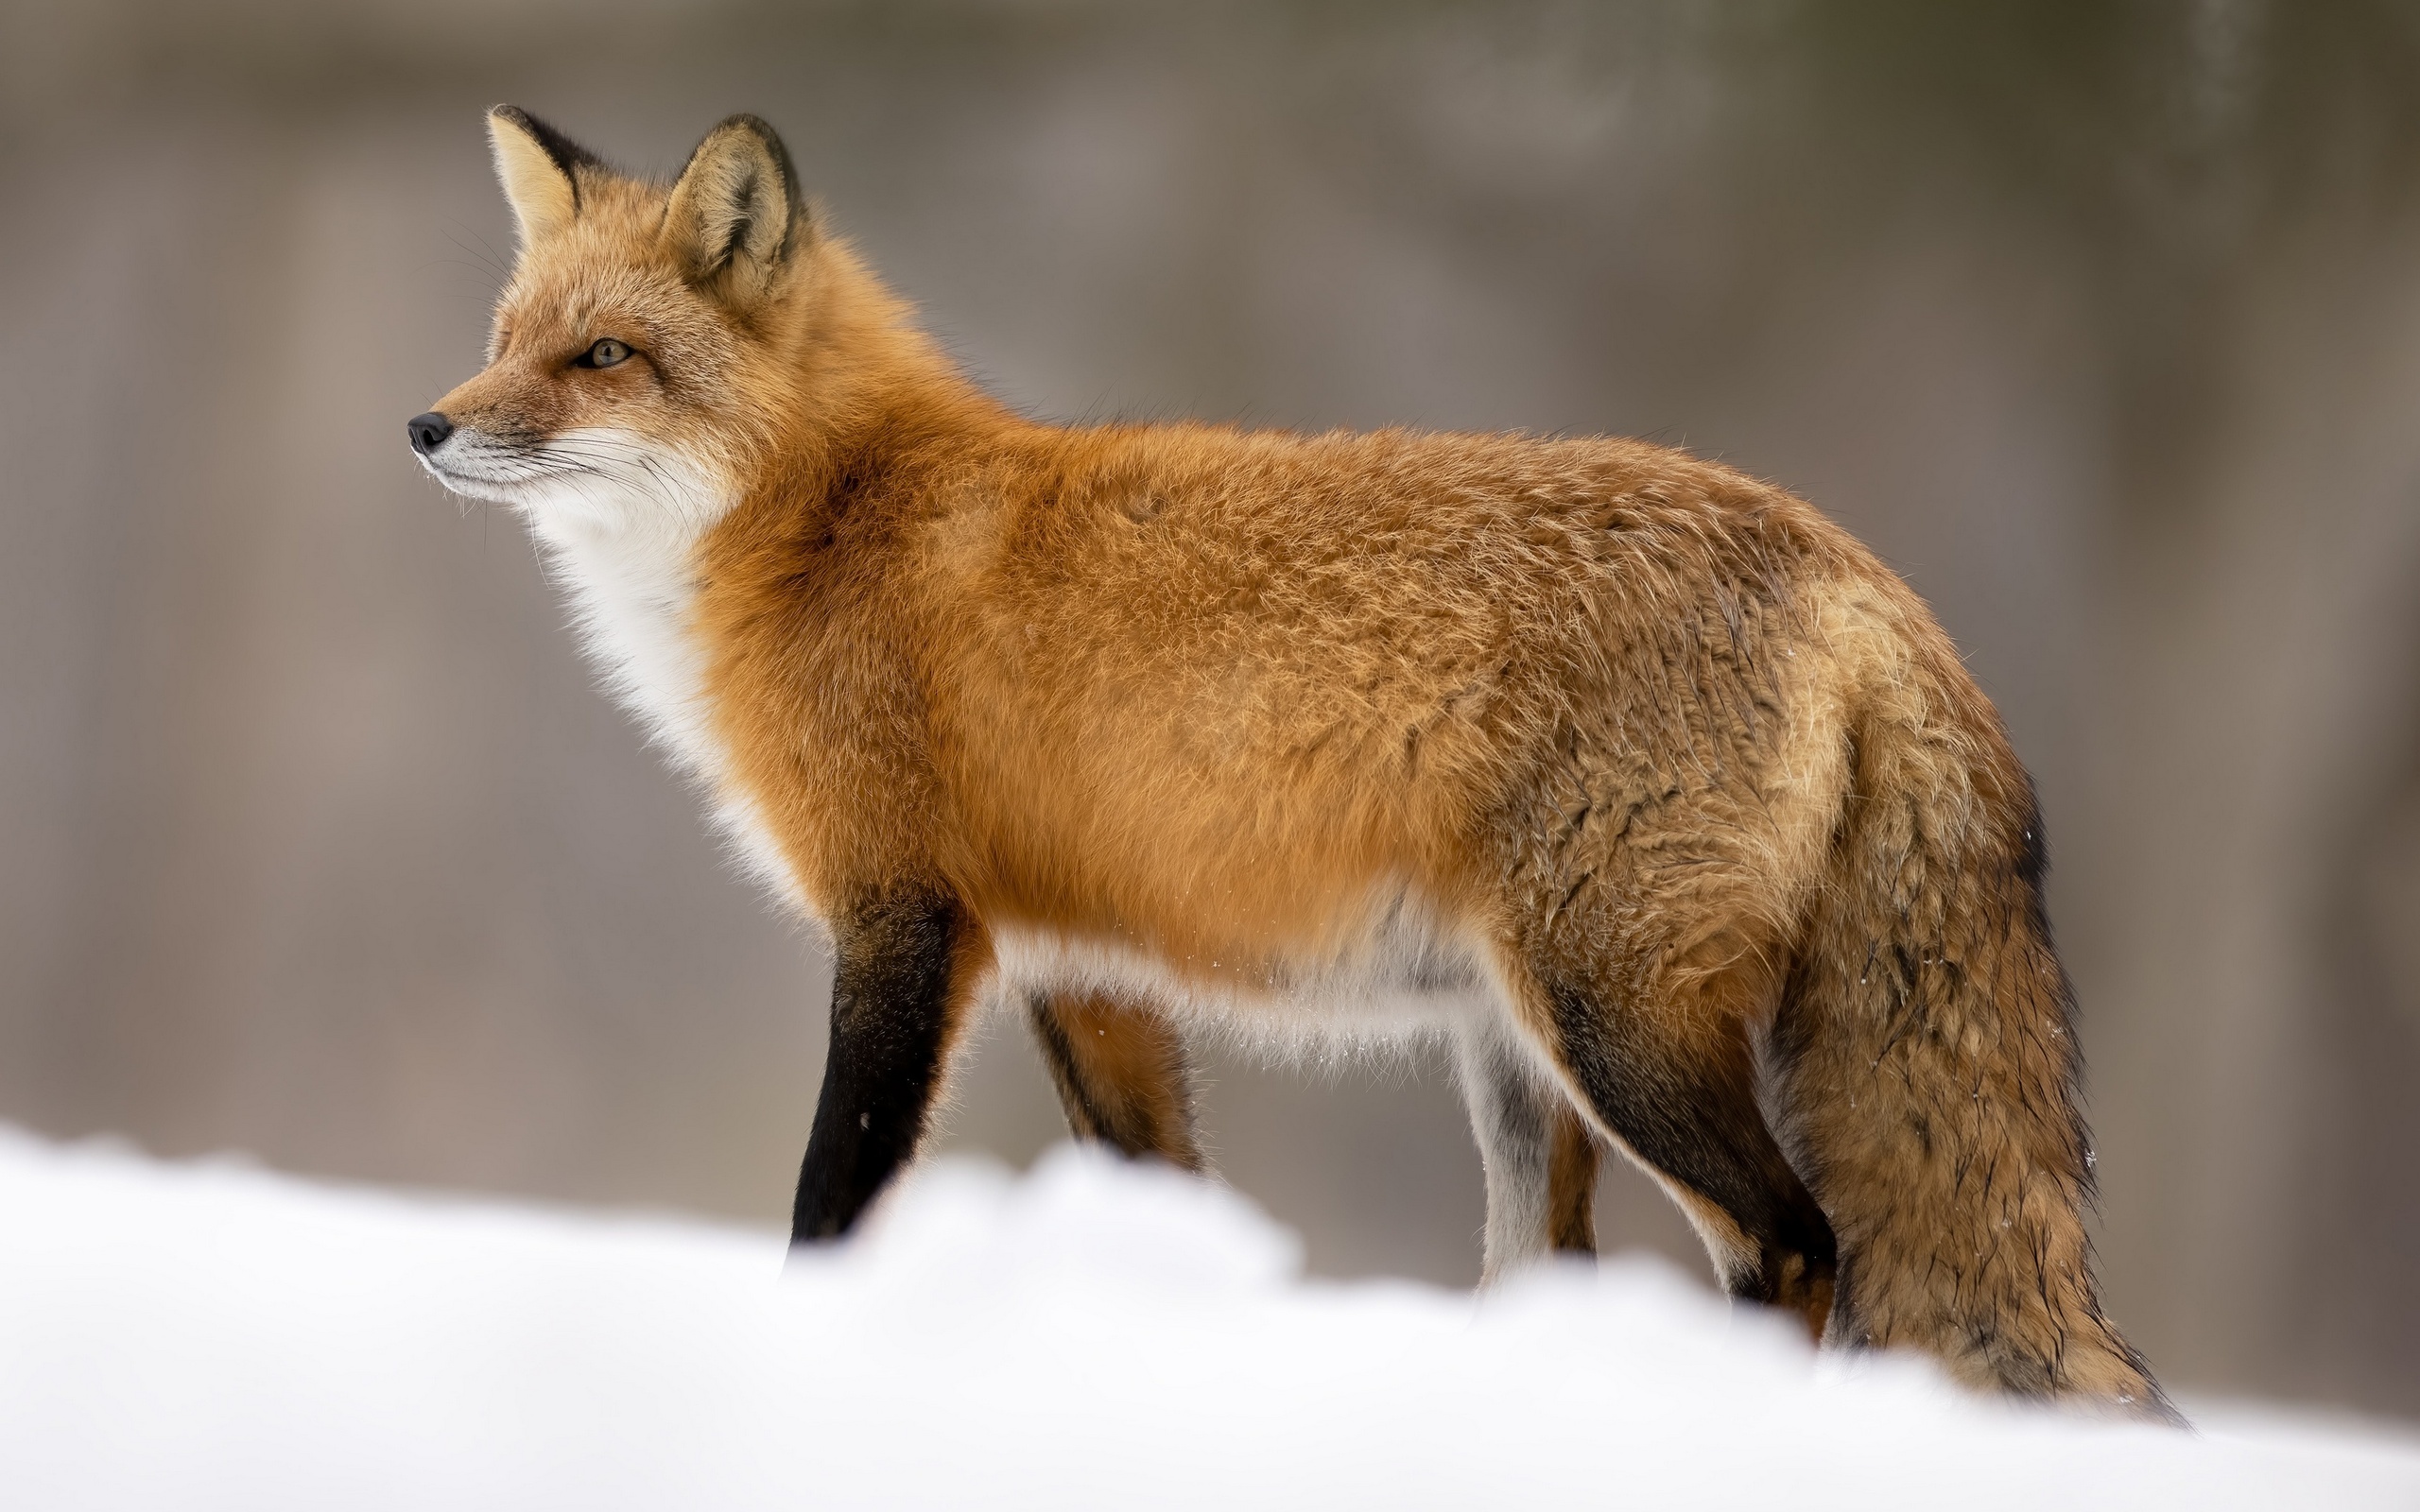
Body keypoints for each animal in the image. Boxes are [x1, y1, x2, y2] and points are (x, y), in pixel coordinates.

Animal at [411, 109, 2178, 1413]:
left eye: (602, 358)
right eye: (505, 338)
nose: (426, 428)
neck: (835, 518)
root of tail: (1857, 569)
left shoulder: (900, 923)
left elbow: (826, 1205)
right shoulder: (1080, 970)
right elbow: (1167, 1198)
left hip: (1612, 1026)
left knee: (1801, 1246)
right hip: (1518, 1057)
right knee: (1569, 1271)